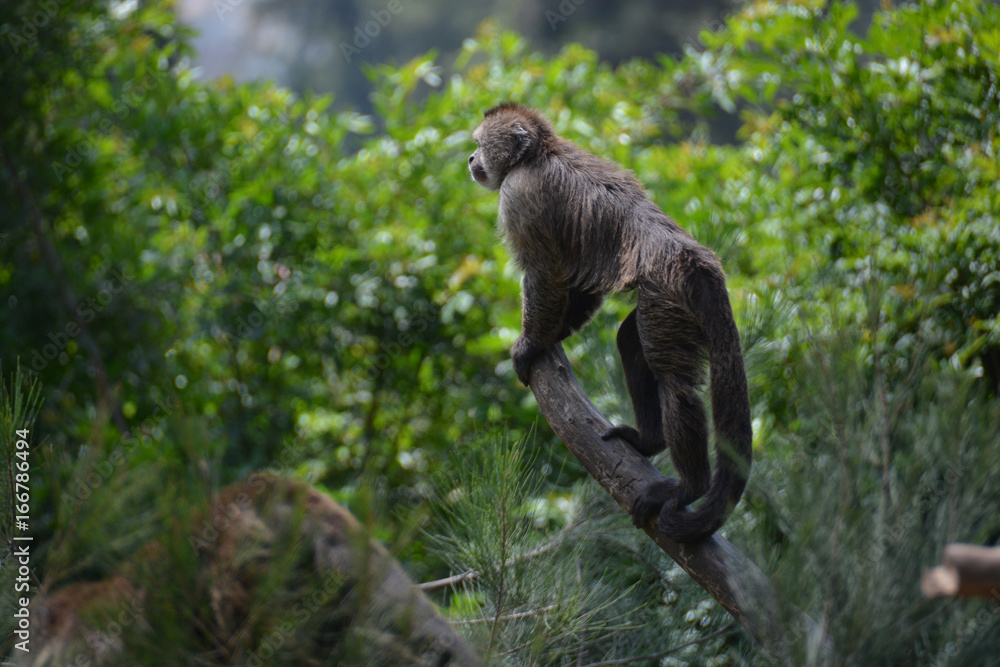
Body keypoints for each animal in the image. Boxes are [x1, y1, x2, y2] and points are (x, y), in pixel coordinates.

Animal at [468, 103, 752, 543]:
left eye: (479, 145)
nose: (470, 159)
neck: (538, 155)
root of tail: (697, 259)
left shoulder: (519, 193)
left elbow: (546, 272)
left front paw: (530, 344)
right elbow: (580, 283)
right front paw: (554, 335)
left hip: (667, 293)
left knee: (674, 380)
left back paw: (689, 487)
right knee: (631, 343)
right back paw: (649, 441)